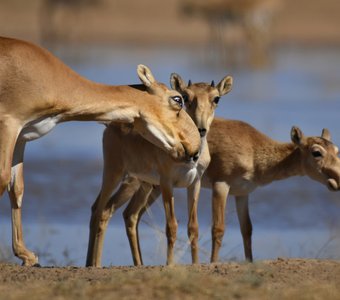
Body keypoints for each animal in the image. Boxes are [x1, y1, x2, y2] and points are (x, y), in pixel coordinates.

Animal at [0, 37, 201, 264]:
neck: (49, 77)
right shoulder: (9, 124)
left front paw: (26, 255)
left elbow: (17, 188)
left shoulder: (22, 136)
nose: (195, 148)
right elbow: (3, 178)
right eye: (177, 99)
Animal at [86, 74, 232, 266]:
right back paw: (95, 263)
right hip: (116, 174)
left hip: (144, 185)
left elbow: (193, 227)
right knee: (101, 210)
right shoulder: (167, 183)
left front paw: (195, 263)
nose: (201, 129)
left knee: (126, 214)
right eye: (184, 96)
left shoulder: (194, 183)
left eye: (216, 98)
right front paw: (170, 264)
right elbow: (171, 226)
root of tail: (110, 125)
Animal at [121, 118, 340, 264]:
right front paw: (213, 263)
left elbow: (247, 229)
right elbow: (218, 228)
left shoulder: (242, 193)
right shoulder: (221, 186)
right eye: (317, 152)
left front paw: (249, 262)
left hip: (154, 187)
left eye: (337, 150)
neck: (253, 148)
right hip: (136, 183)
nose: (337, 179)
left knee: (131, 214)